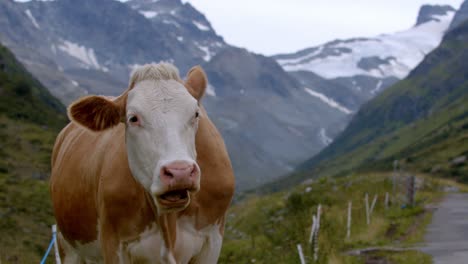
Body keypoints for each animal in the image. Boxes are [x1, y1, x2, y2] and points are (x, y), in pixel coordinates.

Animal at [49, 63, 236, 262]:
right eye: (133, 118)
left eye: (195, 114)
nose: (180, 172)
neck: (168, 222)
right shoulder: (113, 242)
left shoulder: (213, 238)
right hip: (66, 244)